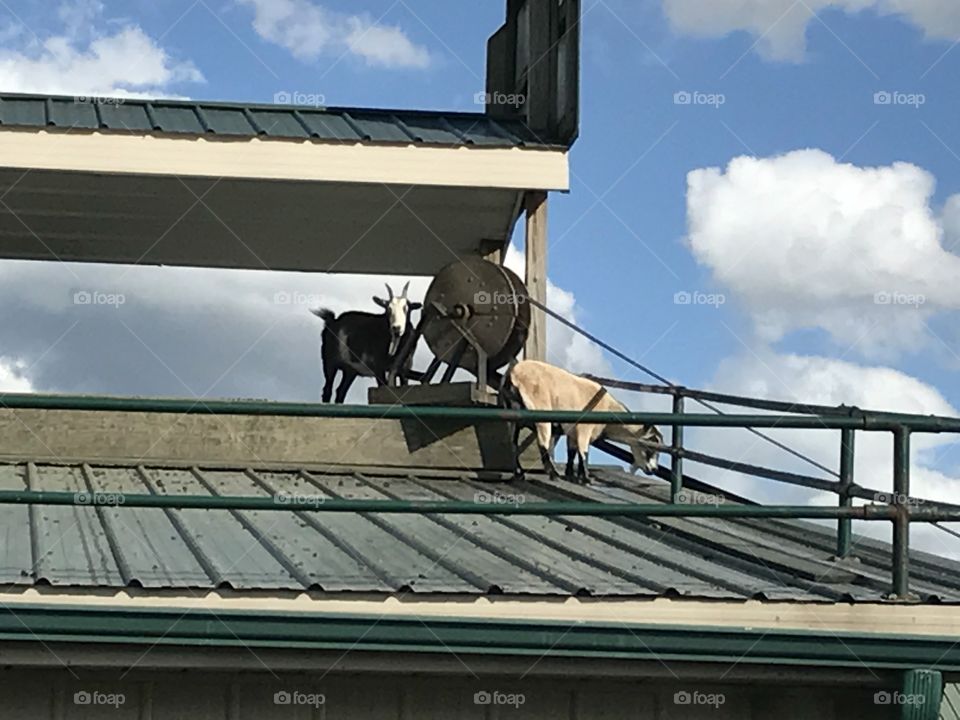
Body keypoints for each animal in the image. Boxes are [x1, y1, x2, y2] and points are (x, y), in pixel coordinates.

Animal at [503, 360, 662, 484]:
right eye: (650, 447)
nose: (654, 469)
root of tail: (513, 374)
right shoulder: (584, 428)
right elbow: (583, 452)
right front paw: (586, 478)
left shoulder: (573, 432)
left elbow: (572, 452)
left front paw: (572, 475)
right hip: (540, 411)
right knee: (542, 444)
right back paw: (553, 474)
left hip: (513, 416)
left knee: (512, 444)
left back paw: (519, 473)